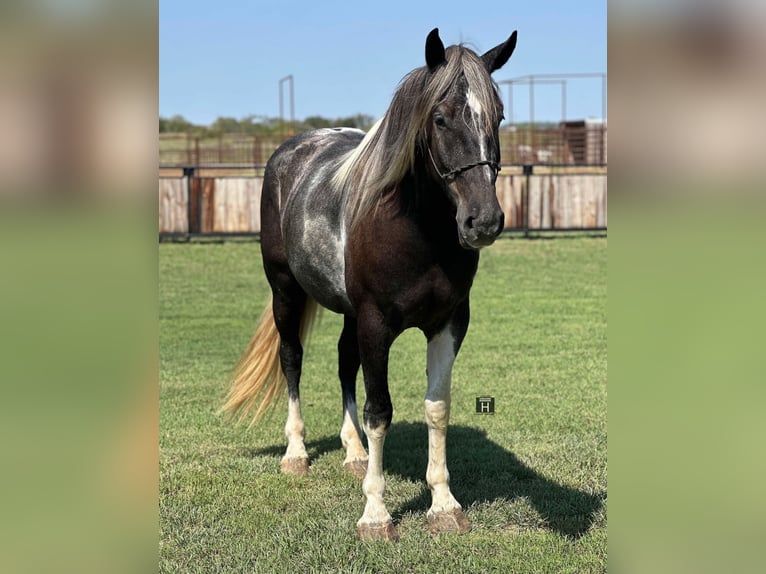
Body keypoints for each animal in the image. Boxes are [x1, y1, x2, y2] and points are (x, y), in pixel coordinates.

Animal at [221, 27, 518, 541]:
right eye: (439, 118)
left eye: (498, 116)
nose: (483, 221)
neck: (416, 232)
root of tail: (289, 152)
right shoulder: (377, 324)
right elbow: (379, 411)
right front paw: (376, 515)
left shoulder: (448, 324)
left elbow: (436, 408)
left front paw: (443, 505)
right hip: (285, 292)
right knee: (292, 360)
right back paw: (296, 453)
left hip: (348, 313)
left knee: (344, 363)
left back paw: (354, 452)